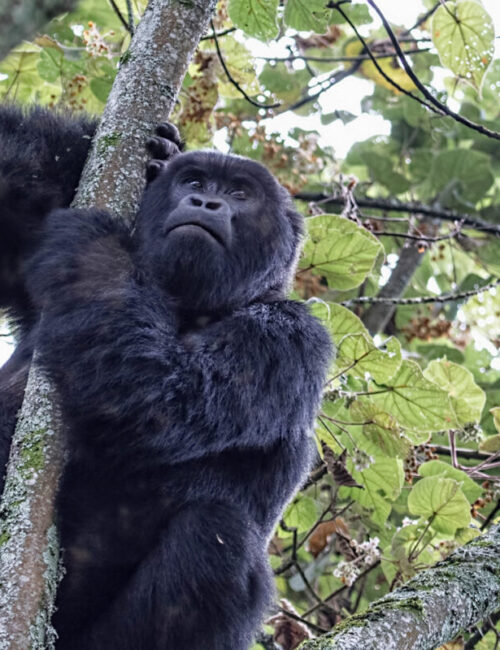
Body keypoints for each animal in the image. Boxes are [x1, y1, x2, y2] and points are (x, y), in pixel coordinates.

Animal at [0, 104, 332, 644]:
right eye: (193, 181)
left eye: (240, 193)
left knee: (218, 535)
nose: (205, 201)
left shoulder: (294, 337)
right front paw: (161, 150)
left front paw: (95, 247)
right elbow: (16, 180)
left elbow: (160, 399)